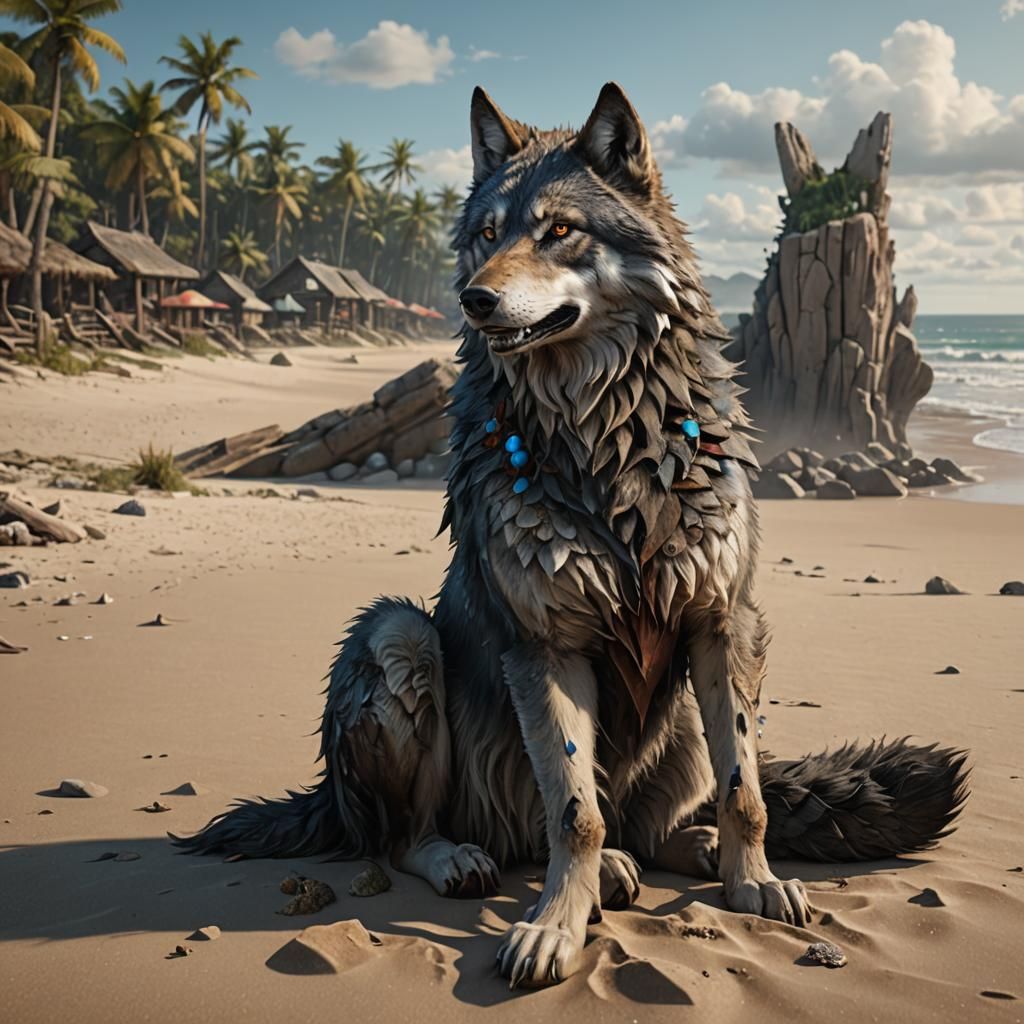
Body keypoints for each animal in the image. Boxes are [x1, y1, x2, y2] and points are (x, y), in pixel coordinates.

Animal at [176, 83, 968, 988]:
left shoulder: (722, 623)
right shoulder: (546, 646)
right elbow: (574, 810)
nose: (474, 300)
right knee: (412, 832)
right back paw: (470, 858)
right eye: (488, 235)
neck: (605, 429)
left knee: (652, 825)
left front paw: (754, 882)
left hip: (684, 706)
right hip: (398, 636)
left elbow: (745, 790)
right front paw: (554, 926)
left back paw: (681, 852)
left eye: (559, 230)